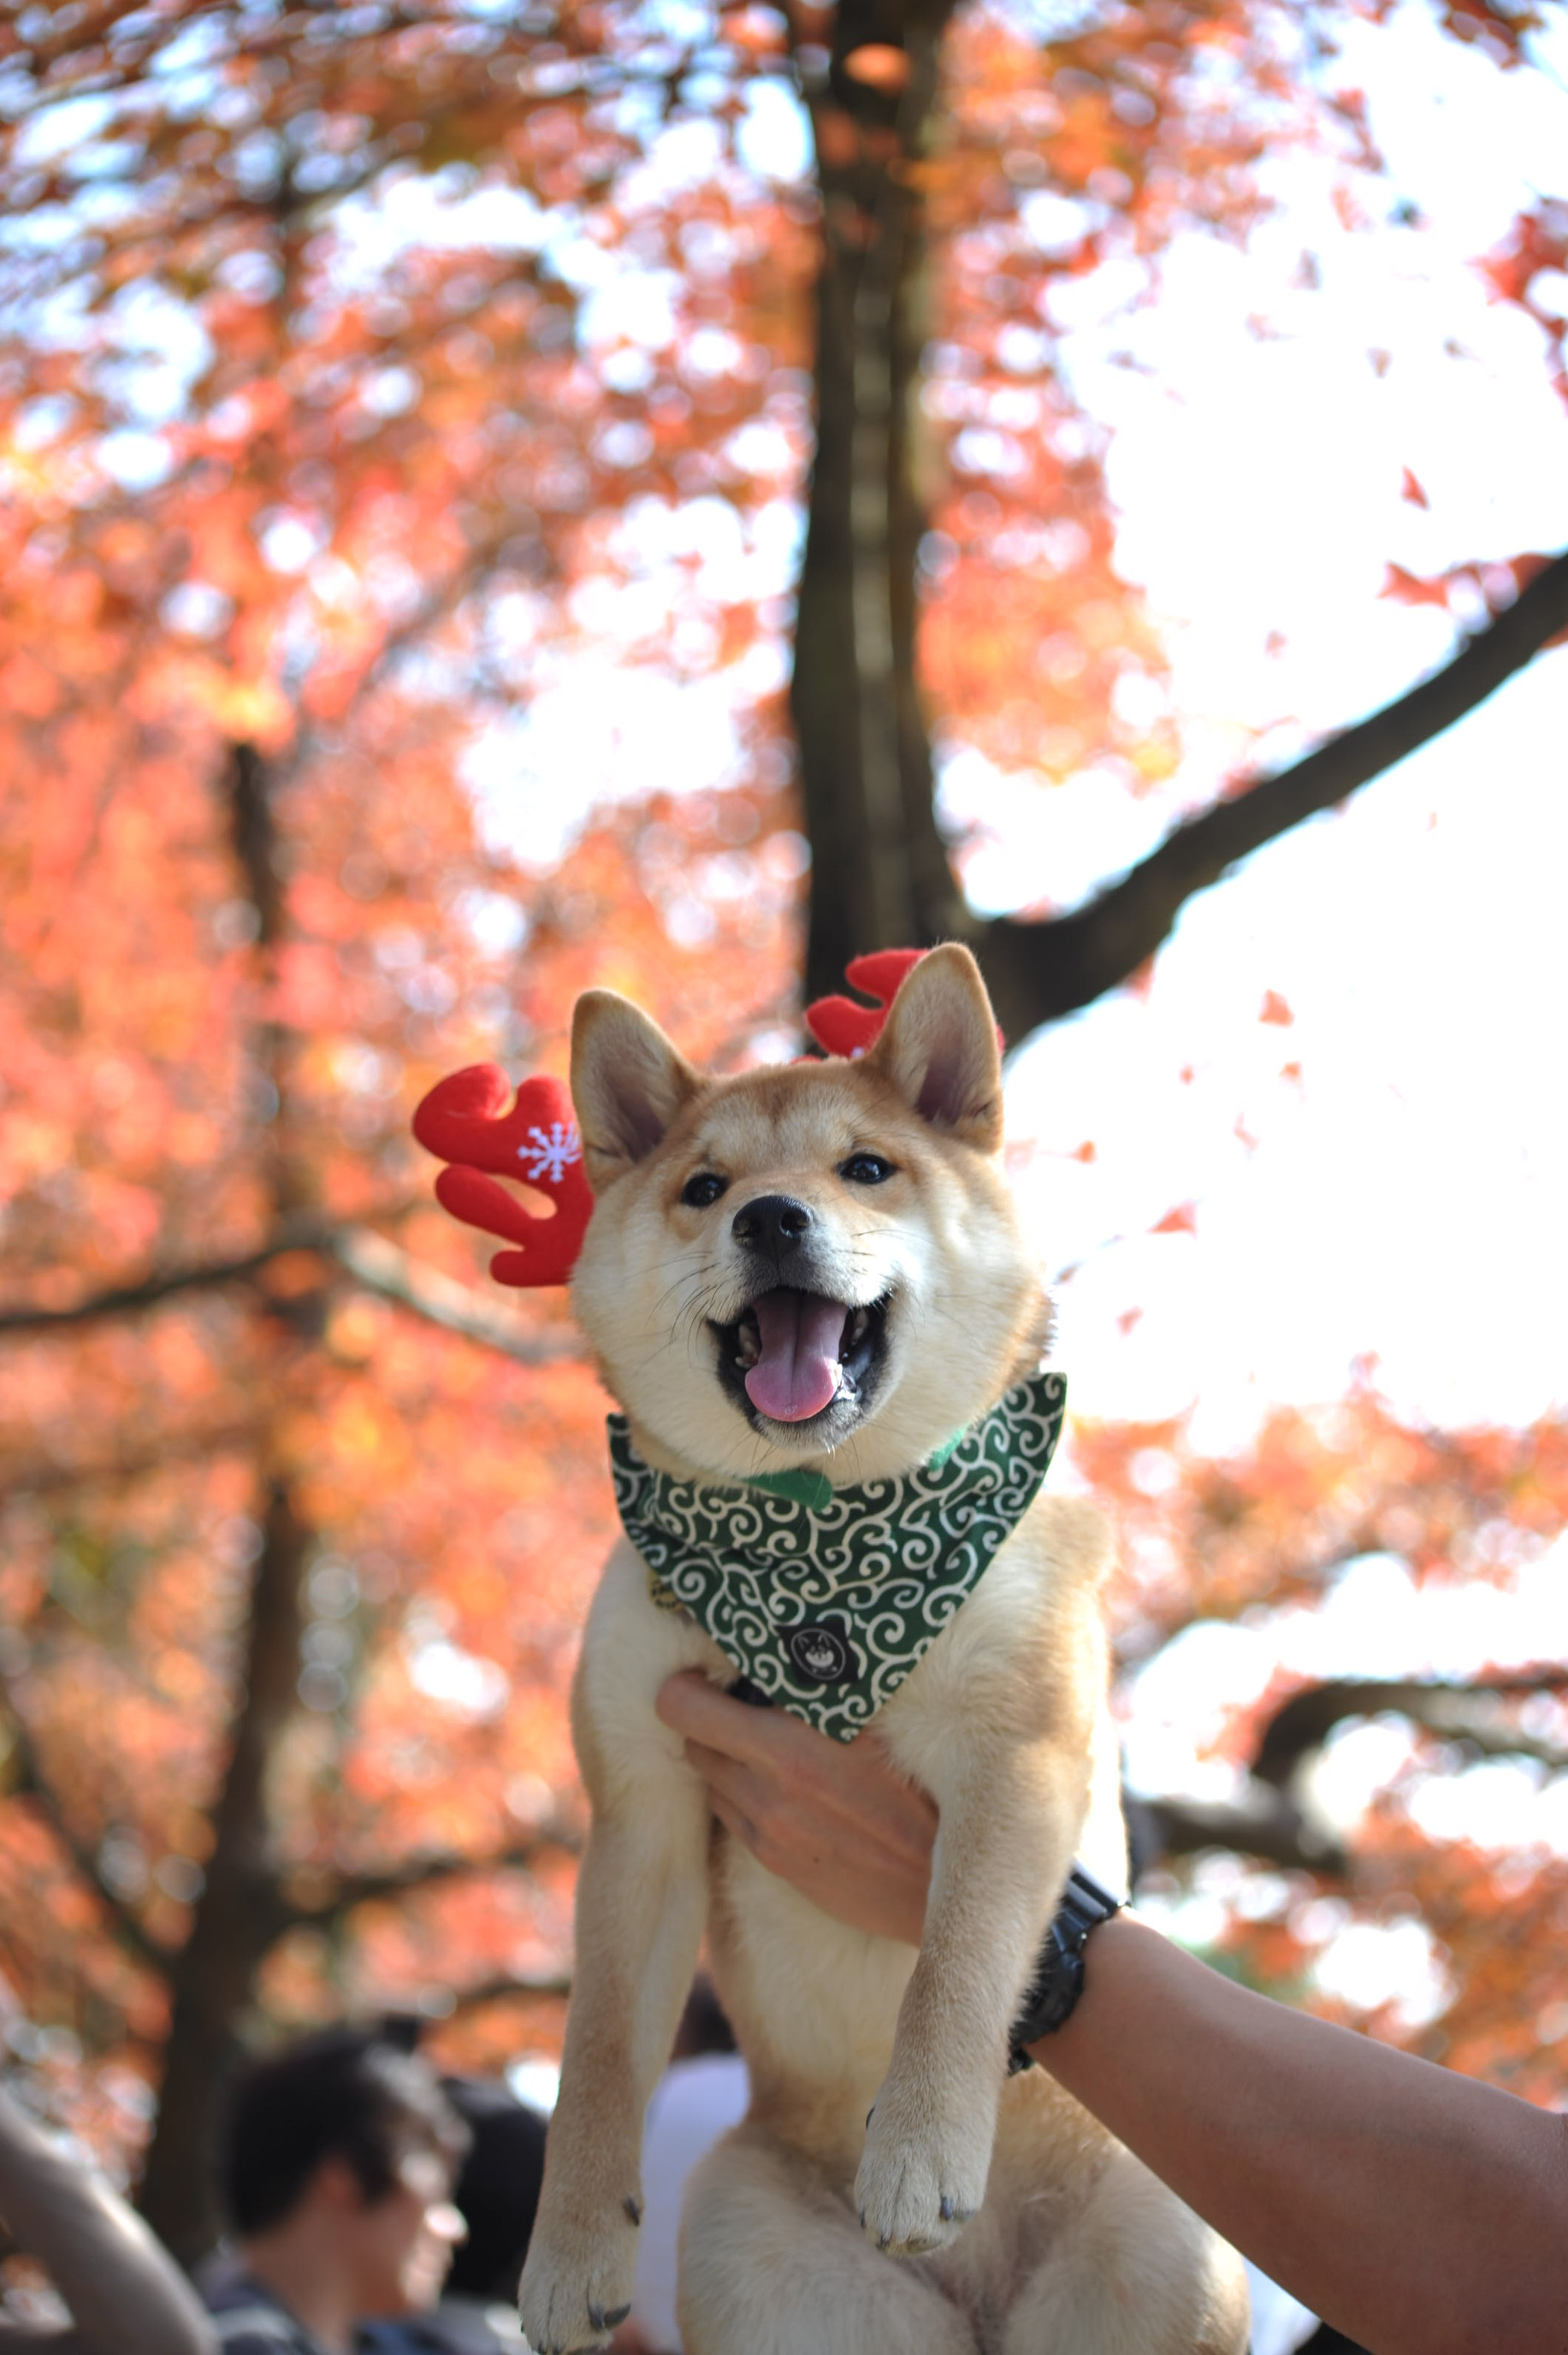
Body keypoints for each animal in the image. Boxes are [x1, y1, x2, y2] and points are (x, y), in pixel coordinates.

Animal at [513, 946, 1243, 2355]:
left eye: (864, 1169)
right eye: (704, 1188)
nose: (769, 1220)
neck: (823, 1539)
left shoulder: (1018, 1751)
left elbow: (955, 1959)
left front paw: (916, 2153)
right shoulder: (641, 1807)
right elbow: (599, 2054)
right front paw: (570, 2251)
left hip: (1168, 2245)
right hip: (755, 2250)